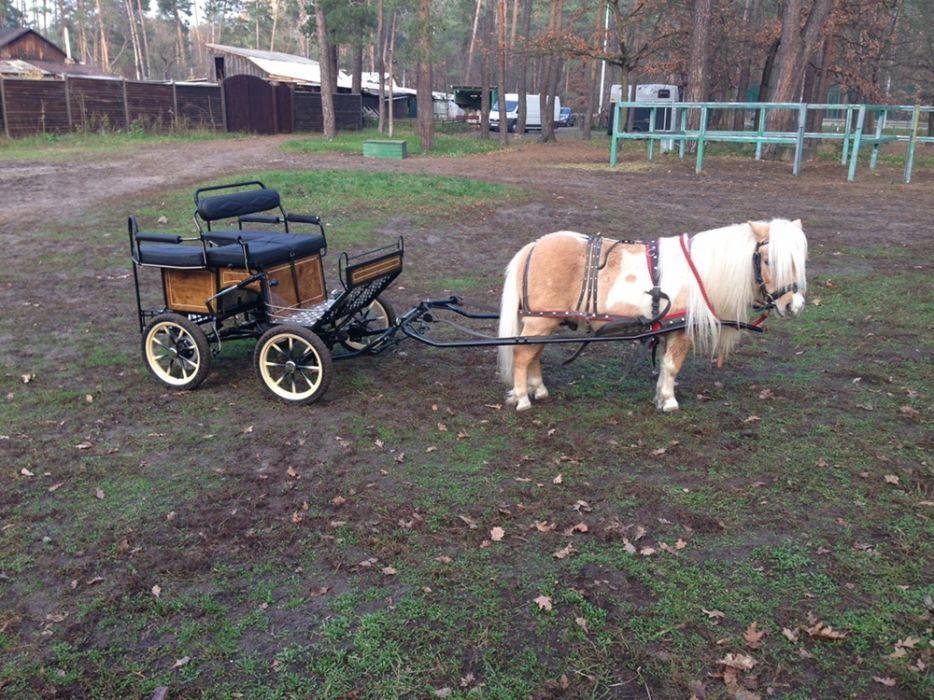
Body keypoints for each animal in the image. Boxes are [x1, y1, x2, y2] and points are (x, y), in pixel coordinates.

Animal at [498, 220, 812, 410]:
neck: (699, 273)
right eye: (769, 261)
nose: (793, 305)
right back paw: (522, 397)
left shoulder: (667, 329)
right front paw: (669, 401)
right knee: (522, 355)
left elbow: (664, 365)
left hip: (543, 320)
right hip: (540, 320)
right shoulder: (681, 331)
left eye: (799, 262)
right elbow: (672, 366)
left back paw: (538, 389)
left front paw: (661, 396)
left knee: (534, 353)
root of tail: (534, 246)